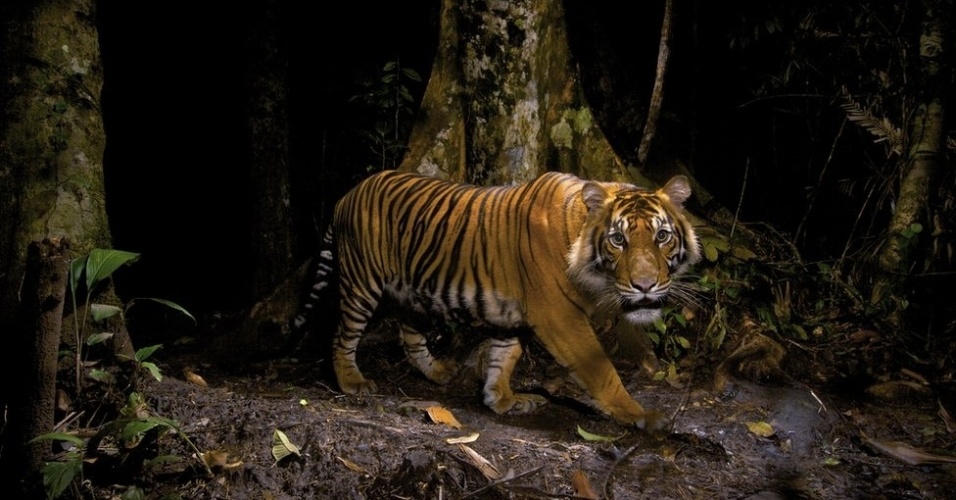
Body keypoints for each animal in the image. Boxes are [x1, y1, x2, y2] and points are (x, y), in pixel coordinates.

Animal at [294, 170, 700, 430]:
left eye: (662, 236)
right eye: (618, 240)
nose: (645, 285)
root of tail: (347, 194)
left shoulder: (515, 315)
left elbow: (503, 358)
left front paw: (502, 400)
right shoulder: (560, 317)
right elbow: (601, 368)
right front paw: (639, 415)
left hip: (412, 291)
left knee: (409, 335)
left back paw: (438, 371)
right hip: (362, 283)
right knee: (342, 334)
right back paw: (352, 381)